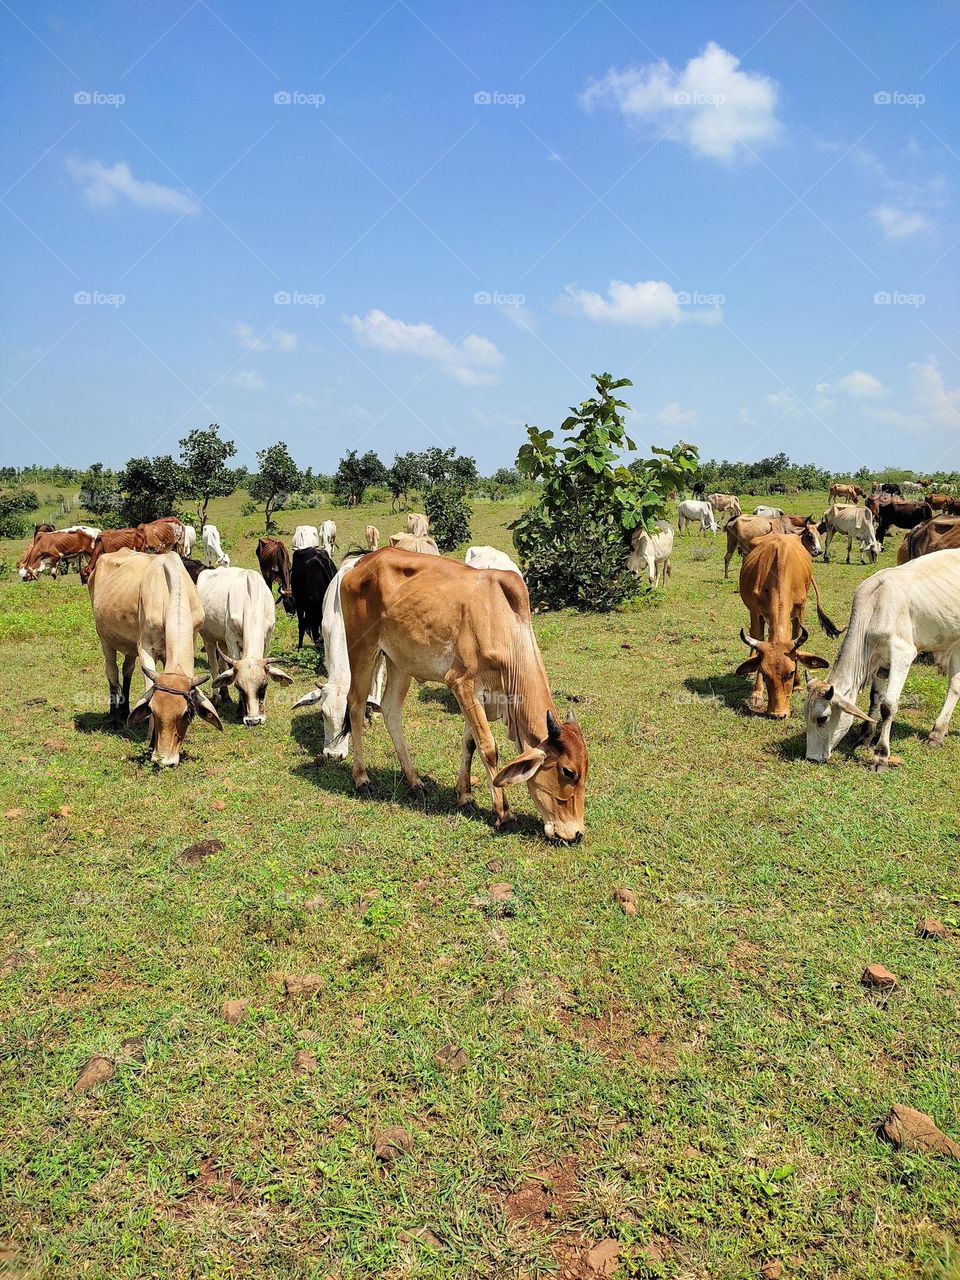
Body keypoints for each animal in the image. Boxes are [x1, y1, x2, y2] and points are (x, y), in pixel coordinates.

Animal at [88, 549, 222, 763]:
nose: (165, 759)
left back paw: (125, 711)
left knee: (127, 670)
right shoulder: (145, 648)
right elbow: (149, 688)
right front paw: (151, 744)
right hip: (105, 638)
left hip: (129, 645)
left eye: (187, 713)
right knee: (112, 673)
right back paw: (114, 716)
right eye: (152, 710)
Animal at [197, 568, 293, 726]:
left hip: (222, 642)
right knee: (214, 667)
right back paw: (217, 698)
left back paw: (226, 695)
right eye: (238, 687)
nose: (253, 720)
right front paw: (239, 710)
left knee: (223, 666)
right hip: (208, 639)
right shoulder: (231, 640)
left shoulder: (267, 639)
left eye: (264, 685)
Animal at [339, 548, 588, 843]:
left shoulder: (482, 697)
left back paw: (414, 781)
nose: (576, 833)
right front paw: (503, 813)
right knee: (355, 705)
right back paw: (361, 778)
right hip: (362, 649)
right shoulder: (462, 684)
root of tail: (364, 560)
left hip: (400, 660)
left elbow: (470, 743)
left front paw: (465, 795)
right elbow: (488, 748)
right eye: (568, 771)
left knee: (390, 710)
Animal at [736, 534, 837, 718]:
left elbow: (796, 638)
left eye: (791, 672)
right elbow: (758, 640)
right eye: (764, 673)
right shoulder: (755, 612)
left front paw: (798, 684)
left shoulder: (800, 610)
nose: (778, 714)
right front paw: (756, 693)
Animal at [805, 549, 960, 769]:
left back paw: (936, 735)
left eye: (822, 719)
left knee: (953, 687)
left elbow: (888, 705)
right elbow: (875, 698)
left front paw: (881, 754)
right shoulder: (879, 661)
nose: (811, 757)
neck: (874, 605)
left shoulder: (903, 654)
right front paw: (865, 738)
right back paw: (939, 732)